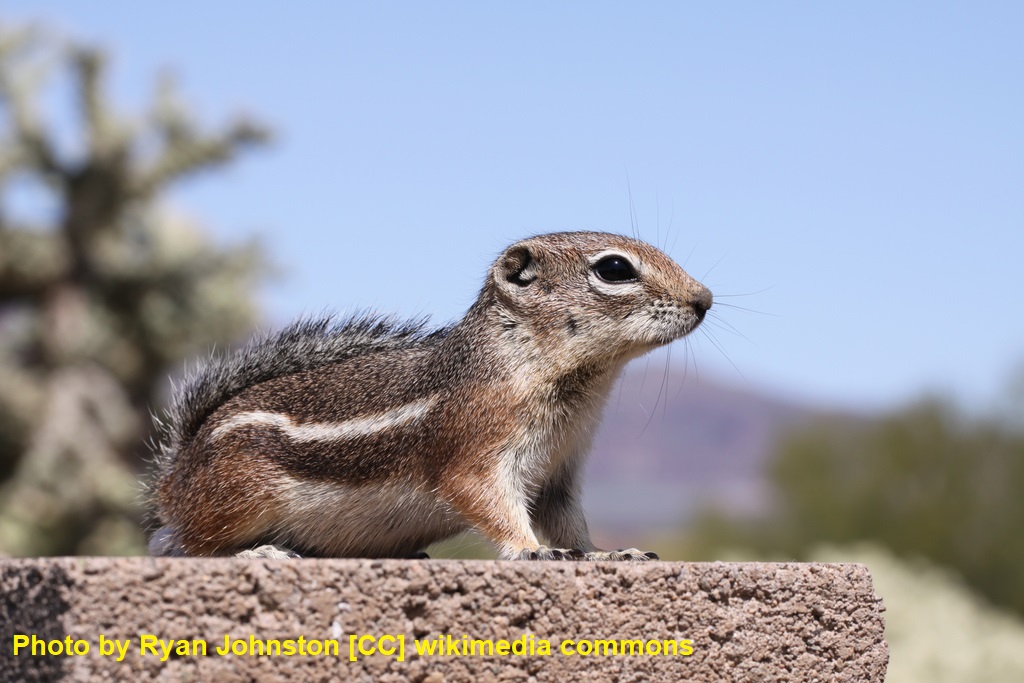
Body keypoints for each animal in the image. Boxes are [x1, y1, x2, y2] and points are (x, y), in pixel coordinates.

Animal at [147, 231, 712, 561]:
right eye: (615, 269)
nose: (704, 298)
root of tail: (174, 472)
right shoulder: (478, 444)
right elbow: (487, 500)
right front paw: (530, 550)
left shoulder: (560, 472)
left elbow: (569, 523)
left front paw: (604, 553)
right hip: (236, 497)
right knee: (189, 546)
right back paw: (258, 553)